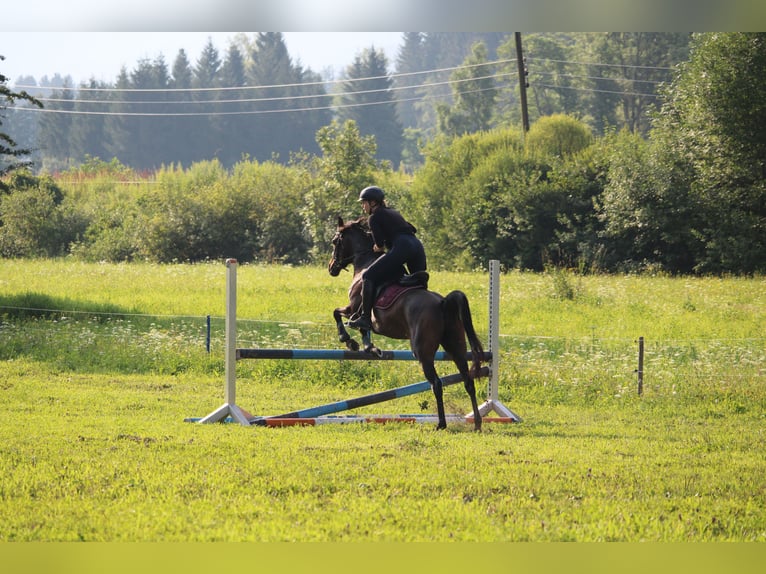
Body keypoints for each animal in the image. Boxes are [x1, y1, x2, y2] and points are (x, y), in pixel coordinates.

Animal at [328, 216, 484, 431]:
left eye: (335, 241)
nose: (331, 268)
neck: (364, 262)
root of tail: (443, 303)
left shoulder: (353, 308)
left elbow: (340, 314)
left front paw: (348, 340)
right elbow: (363, 329)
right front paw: (370, 348)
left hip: (422, 352)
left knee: (436, 384)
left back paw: (441, 424)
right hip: (455, 347)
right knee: (468, 381)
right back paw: (477, 423)